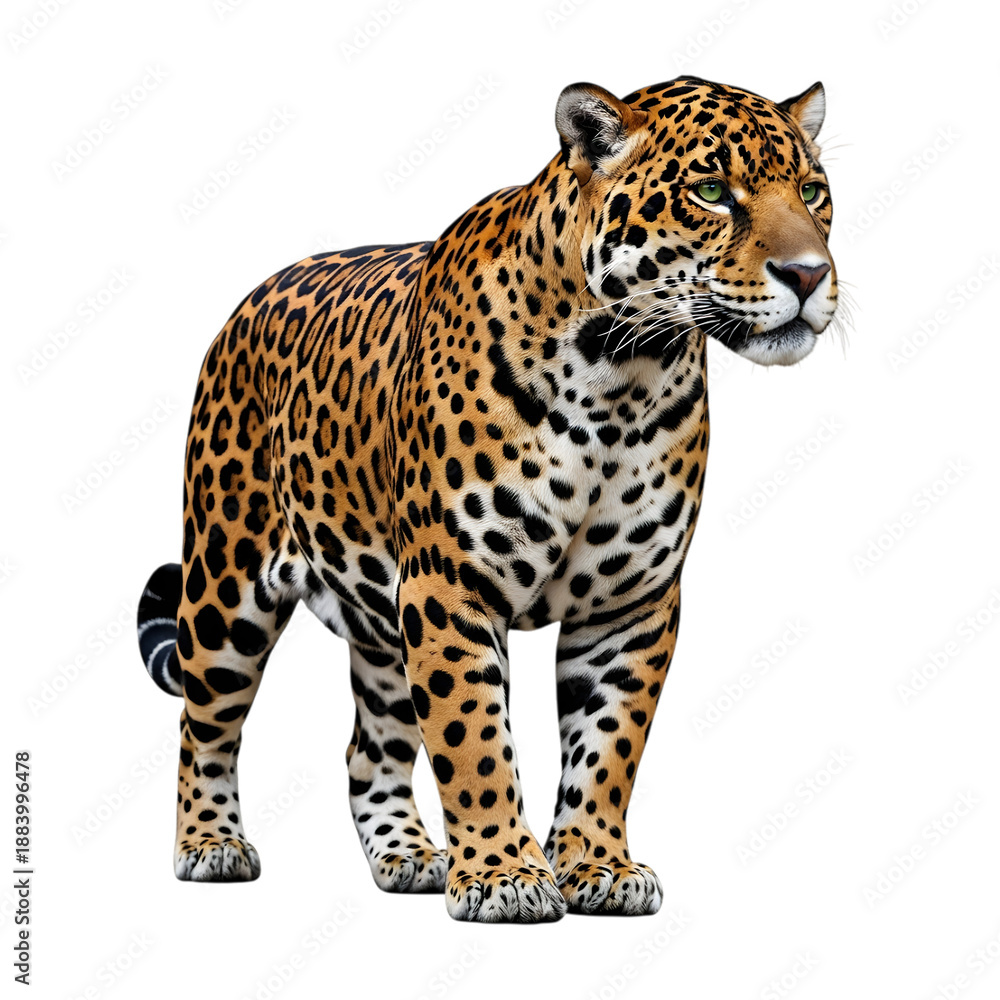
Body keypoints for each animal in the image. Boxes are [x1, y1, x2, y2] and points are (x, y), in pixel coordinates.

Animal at [136, 75, 838, 923]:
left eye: (812, 191)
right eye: (710, 193)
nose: (808, 275)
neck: (622, 380)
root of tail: (253, 297)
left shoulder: (632, 604)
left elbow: (608, 745)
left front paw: (598, 864)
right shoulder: (450, 588)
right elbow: (472, 739)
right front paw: (505, 876)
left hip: (381, 624)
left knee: (367, 749)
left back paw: (408, 855)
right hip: (227, 587)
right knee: (203, 723)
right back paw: (211, 844)